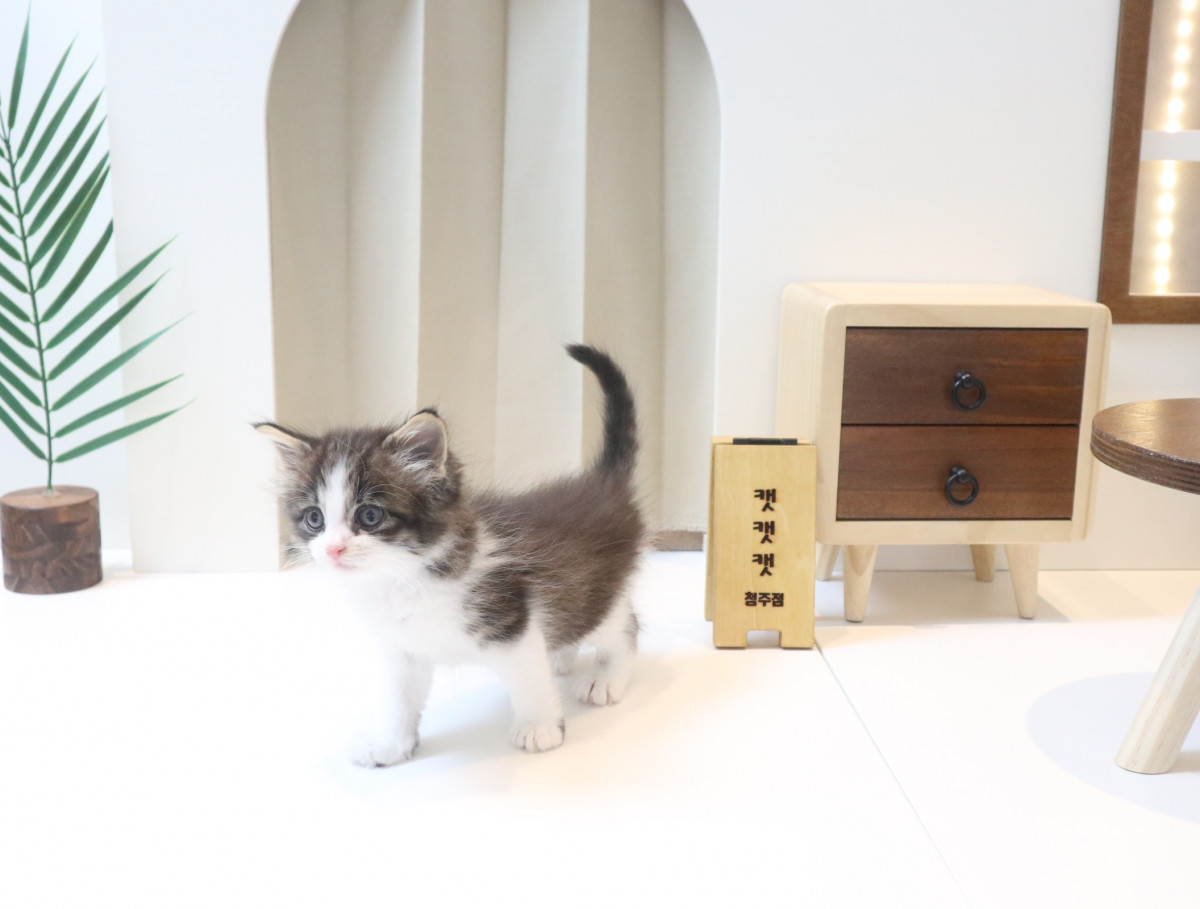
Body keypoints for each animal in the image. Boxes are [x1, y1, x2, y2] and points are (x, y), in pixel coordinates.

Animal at [255, 344, 646, 765]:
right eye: (315, 519)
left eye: (370, 516)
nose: (332, 548)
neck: (404, 580)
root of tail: (603, 485)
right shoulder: (402, 648)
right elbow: (400, 700)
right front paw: (390, 744)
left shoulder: (510, 620)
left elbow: (529, 680)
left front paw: (540, 728)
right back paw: (561, 653)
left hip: (599, 590)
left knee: (623, 624)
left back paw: (606, 677)